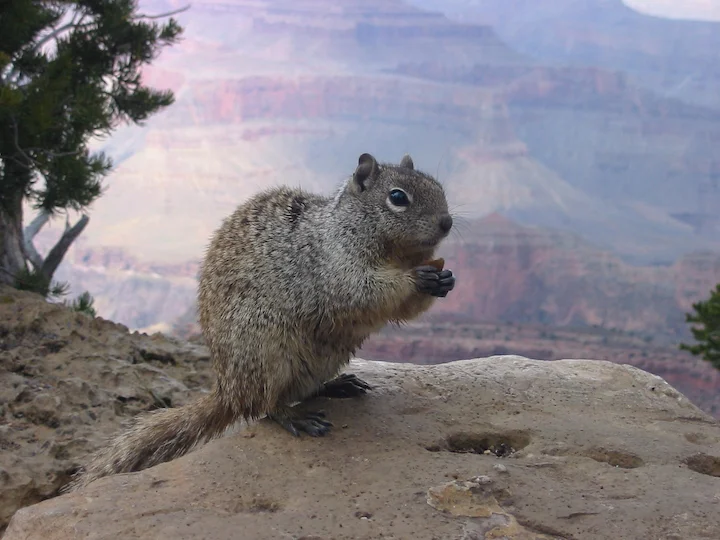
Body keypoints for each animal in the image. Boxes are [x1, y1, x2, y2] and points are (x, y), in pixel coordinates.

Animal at [68, 152, 456, 490]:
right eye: (397, 197)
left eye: (438, 186)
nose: (448, 222)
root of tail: (228, 390)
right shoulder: (335, 268)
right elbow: (366, 292)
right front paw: (416, 279)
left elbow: (402, 310)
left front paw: (444, 280)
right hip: (267, 352)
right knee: (265, 407)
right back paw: (295, 416)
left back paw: (337, 385)